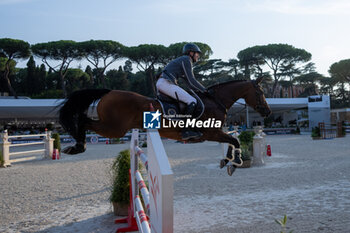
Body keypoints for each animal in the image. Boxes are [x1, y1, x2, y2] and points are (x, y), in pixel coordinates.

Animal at [59, 76, 270, 175]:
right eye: (260, 93)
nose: (267, 112)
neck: (215, 100)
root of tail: (109, 91)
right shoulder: (211, 132)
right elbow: (234, 141)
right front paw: (235, 162)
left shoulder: (216, 132)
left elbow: (232, 141)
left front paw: (227, 161)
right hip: (114, 128)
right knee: (84, 121)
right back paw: (77, 146)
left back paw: (75, 146)